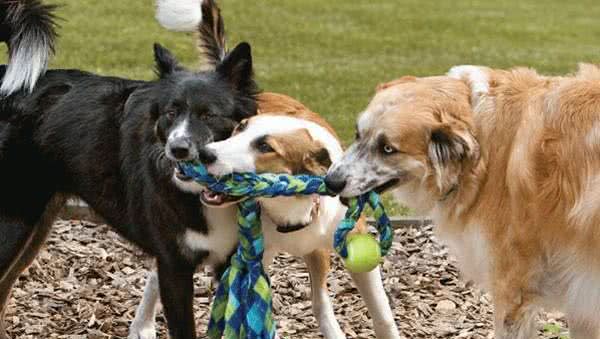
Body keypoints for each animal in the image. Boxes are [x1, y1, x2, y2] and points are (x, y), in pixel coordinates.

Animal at [0, 1, 255, 338]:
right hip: (13, 223)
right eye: (171, 112)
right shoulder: (173, 268)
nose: (177, 149)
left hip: (35, 224)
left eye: (209, 115)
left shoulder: (229, 262)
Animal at [127, 92, 400, 339]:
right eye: (239, 128)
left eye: (265, 147)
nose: (205, 154)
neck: (293, 211)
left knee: (320, 302)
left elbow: (382, 315)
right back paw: (142, 325)